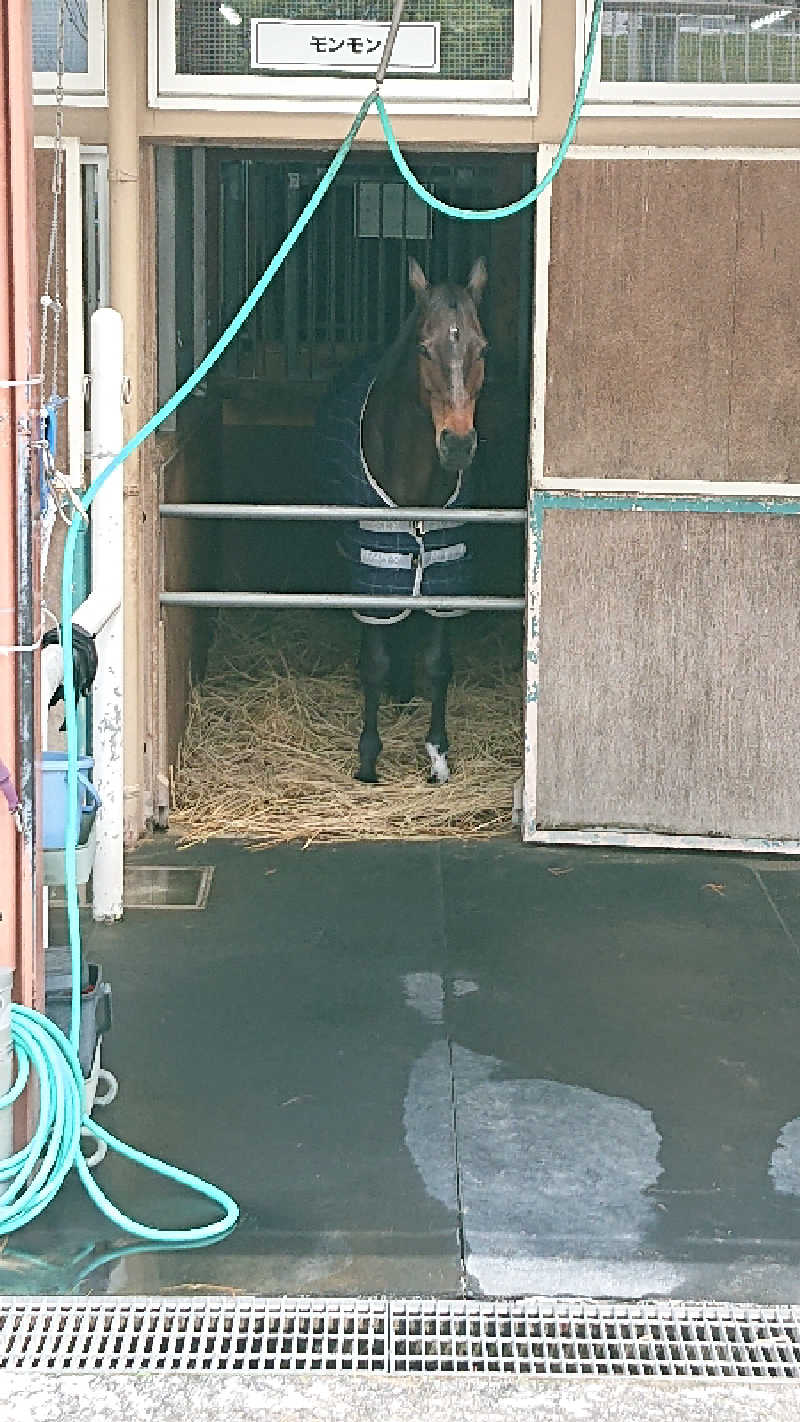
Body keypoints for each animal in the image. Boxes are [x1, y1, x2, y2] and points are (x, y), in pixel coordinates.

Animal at [318, 257, 488, 790]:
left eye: (482, 347)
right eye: (423, 347)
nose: (458, 445)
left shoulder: (442, 563)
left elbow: (438, 664)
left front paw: (437, 753)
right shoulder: (375, 565)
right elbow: (374, 660)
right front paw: (368, 758)